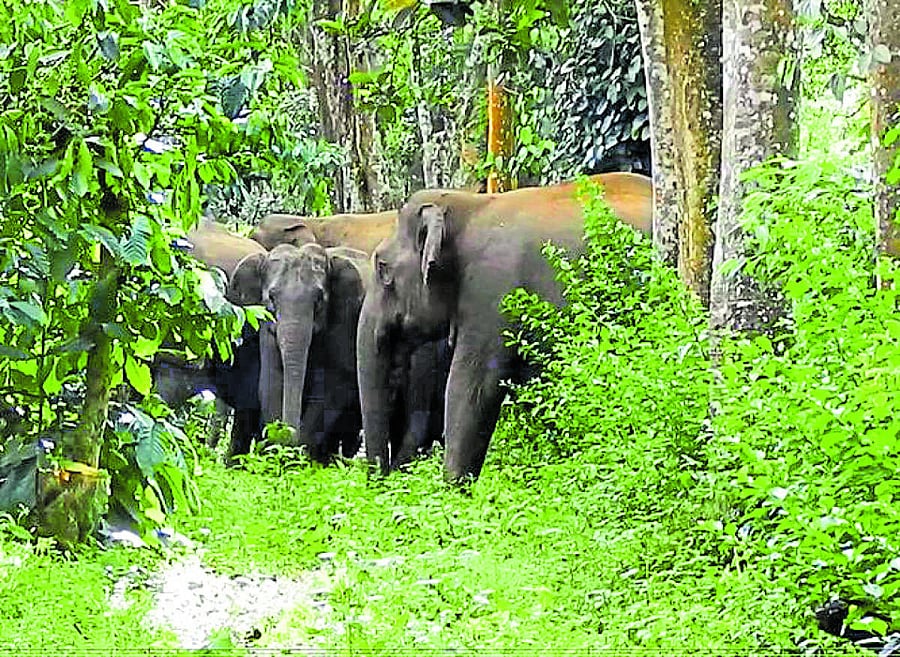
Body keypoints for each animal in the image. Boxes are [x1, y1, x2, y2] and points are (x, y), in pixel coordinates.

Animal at [228, 243, 371, 462]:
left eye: (319, 299)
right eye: (271, 298)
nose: (286, 431)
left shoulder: (346, 319)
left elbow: (334, 384)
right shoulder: (266, 324)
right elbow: (271, 380)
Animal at [356, 172, 654, 481]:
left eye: (382, 267)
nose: (383, 477)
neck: (469, 206)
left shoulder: (491, 294)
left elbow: (471, 389)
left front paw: (453, 487)